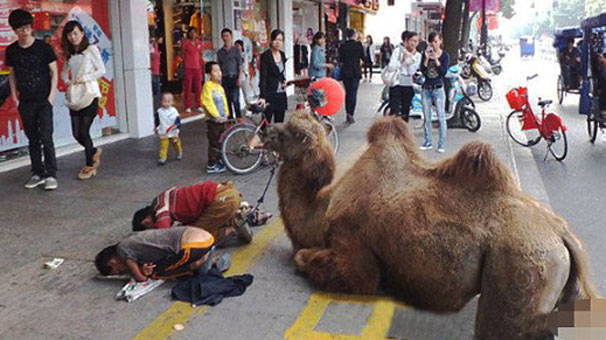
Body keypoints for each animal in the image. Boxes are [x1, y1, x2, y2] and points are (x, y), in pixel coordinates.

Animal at [268, 112, 604, 340]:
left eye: (291, 132)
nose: (267, 128)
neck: (323, 207)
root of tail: (562, 234)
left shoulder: (350, 242)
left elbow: (331, 267)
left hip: (521, 266)